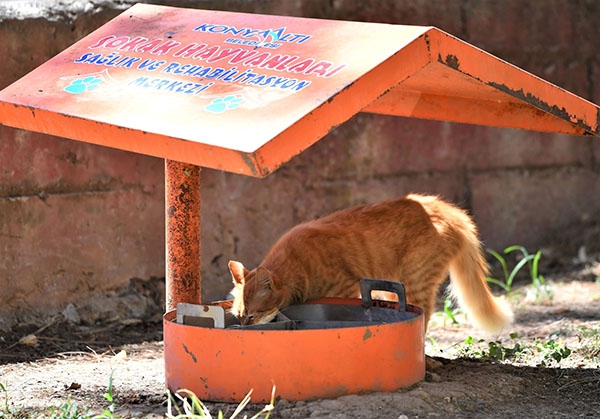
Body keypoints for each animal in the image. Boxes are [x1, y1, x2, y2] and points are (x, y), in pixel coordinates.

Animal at [227, 194, 512, 334]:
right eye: (239, 317)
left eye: (251, 316)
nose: (242, 328)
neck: (297, 266)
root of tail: (449, 210)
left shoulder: (344, 290)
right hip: (392, 287)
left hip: (415, 283)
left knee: (421, 320)